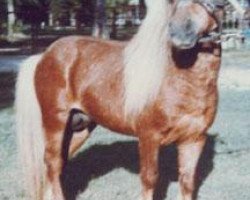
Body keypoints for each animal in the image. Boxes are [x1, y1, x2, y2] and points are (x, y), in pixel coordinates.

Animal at [16, 0, 221, 199]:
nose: (178, 33)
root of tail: (44, 55)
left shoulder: (194, 140)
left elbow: (187, 182)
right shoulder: (149, 137)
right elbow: (149, 179)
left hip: (78, 128)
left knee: (58, 164)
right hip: (56, 122)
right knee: (53, 161)